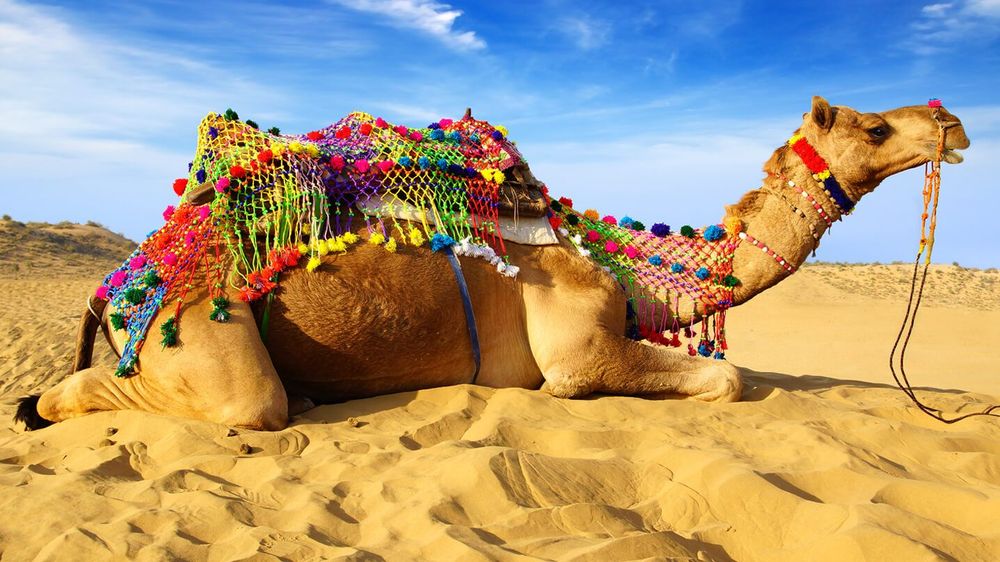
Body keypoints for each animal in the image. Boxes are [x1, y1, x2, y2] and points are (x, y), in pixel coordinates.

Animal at [15, 96, 970, 432]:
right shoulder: (579, 347)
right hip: (194, 324)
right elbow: (729, 378)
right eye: (872, 128)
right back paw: (38, 408)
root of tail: (126, 277)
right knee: (219, 401)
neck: (630, 271)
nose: (952, 119)